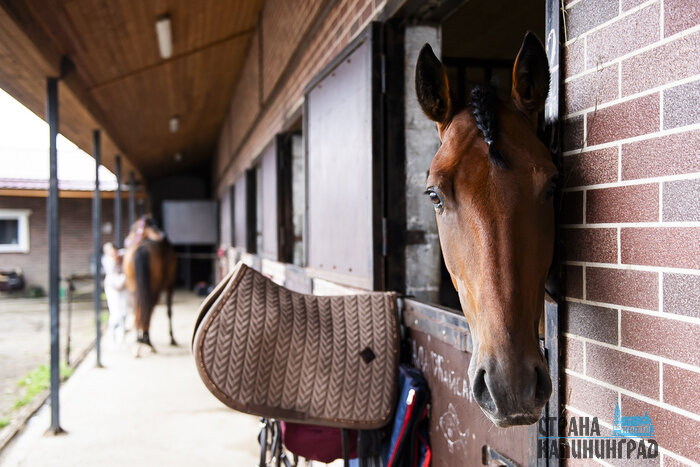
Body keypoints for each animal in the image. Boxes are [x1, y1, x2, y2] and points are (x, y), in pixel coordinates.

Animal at [123, 215, 178, 356]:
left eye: (133, 229)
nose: (127, 240)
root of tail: (142, 248)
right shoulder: (169, 285)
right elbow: (169, 311)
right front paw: (172, 338)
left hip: (135, 288)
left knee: (139, 309)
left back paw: (140, 340)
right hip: (154, 288)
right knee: (148, 309)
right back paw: (147, 341)